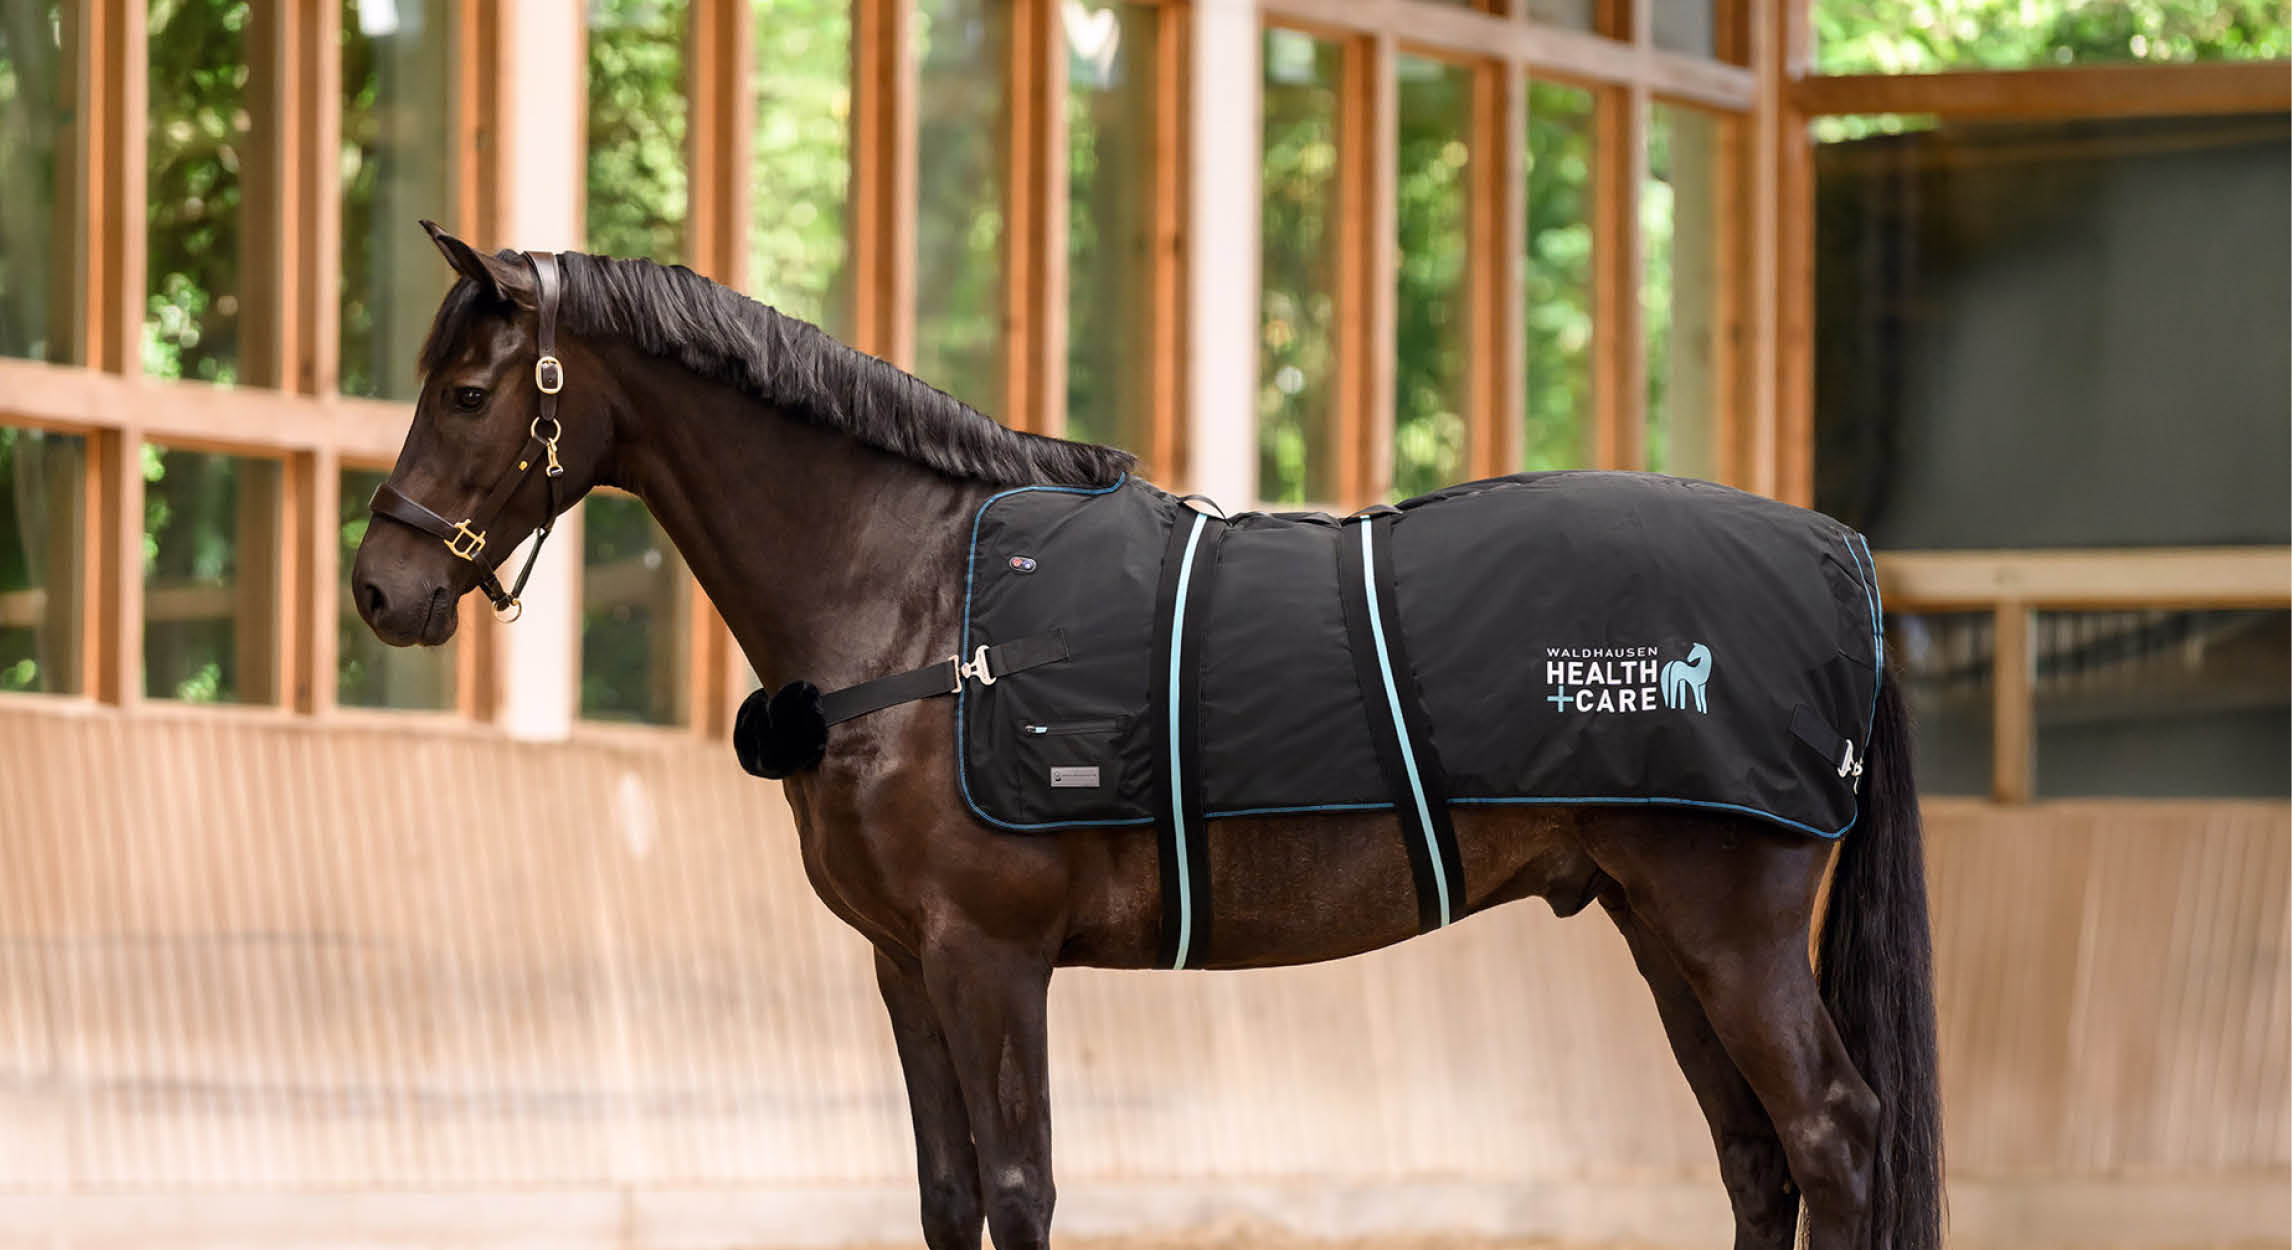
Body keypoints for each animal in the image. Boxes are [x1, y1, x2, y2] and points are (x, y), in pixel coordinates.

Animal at [351, 226, 1942, 1250]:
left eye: (471, 391)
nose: (382, 586)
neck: (920, 593)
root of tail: (1842, 554)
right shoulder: (904, 966)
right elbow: (946, 1199)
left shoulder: (990, 957)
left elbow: (1020, 1190)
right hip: (1659, 927)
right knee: (1758, 1163)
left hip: (1727, 931)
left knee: (1834, 1138)